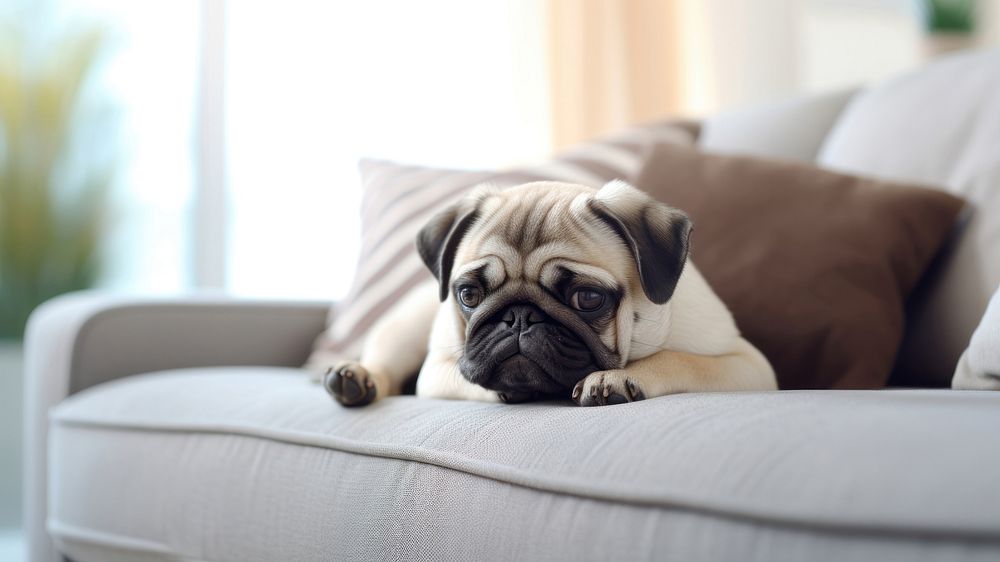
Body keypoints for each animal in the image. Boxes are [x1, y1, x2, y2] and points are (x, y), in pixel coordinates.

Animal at [324, 180, 776, 406]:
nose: (519, 317)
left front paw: (615, 377)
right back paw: (355, 379)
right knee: (383, 364)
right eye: (469, 294)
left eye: (588, 299)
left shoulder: (747, 365)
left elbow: (678, 358)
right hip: (403, 330)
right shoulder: (437, 370)